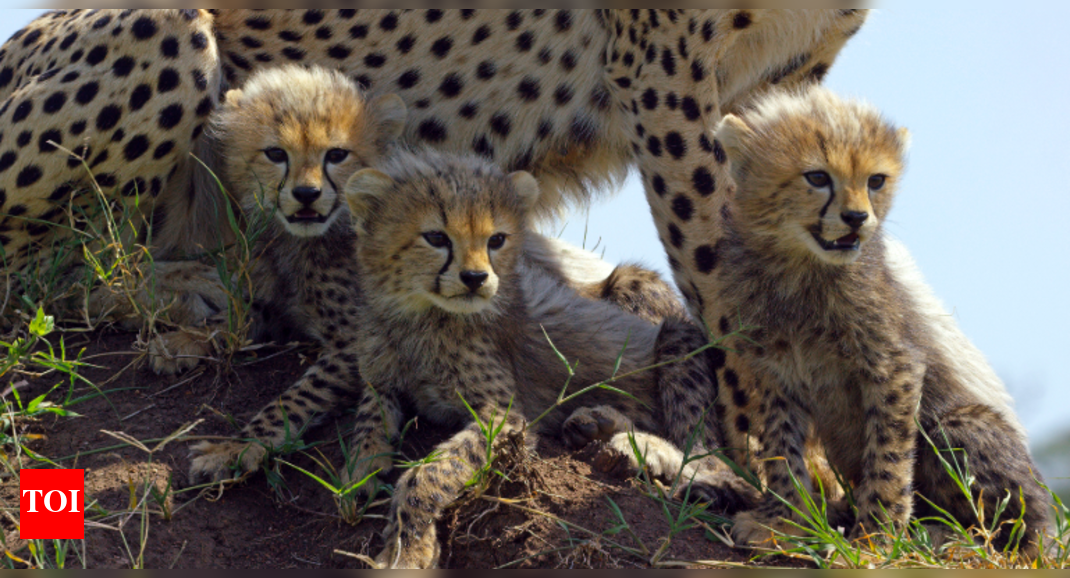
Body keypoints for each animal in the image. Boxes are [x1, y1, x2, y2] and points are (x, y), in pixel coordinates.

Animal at [0, 9, 871, 345]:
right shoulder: (664, 75)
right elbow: (716, 256)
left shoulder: (782, 81)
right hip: (168, 27)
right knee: (32, 277)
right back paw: (182, 289)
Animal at [341, 149, 753, 568]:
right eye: (436, 237)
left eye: (496, 240)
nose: (475, 278)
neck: (417, 313)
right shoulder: (382, 379)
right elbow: (369, 417)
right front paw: (360, 472)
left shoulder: (505, 417)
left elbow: (430, 472)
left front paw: (407, 547)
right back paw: (600, 424)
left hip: (668, 325)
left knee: (715, 458)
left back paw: (662, 457)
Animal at [705, 86, 1050, 554]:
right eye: (817, 178)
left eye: (875, 181)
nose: (856, 218)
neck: (799, 269)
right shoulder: (777, 371)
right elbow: (782, 446)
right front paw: (785, 521)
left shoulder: (894, 365)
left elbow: (888, 457)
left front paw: (876, 538)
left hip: (960, 429)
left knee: (1007, 532)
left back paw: (943, 536)